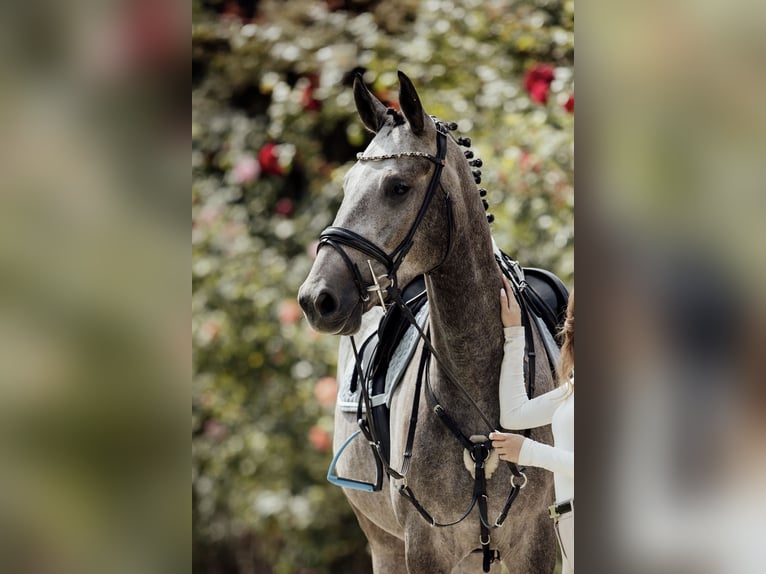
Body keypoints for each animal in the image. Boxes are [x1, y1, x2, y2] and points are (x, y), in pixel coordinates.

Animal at [298, 71, 557, 573]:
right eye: (347, 183)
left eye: (398, 186)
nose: (316, 299)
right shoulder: (424, 548)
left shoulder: (535, 546)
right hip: (383, 543)